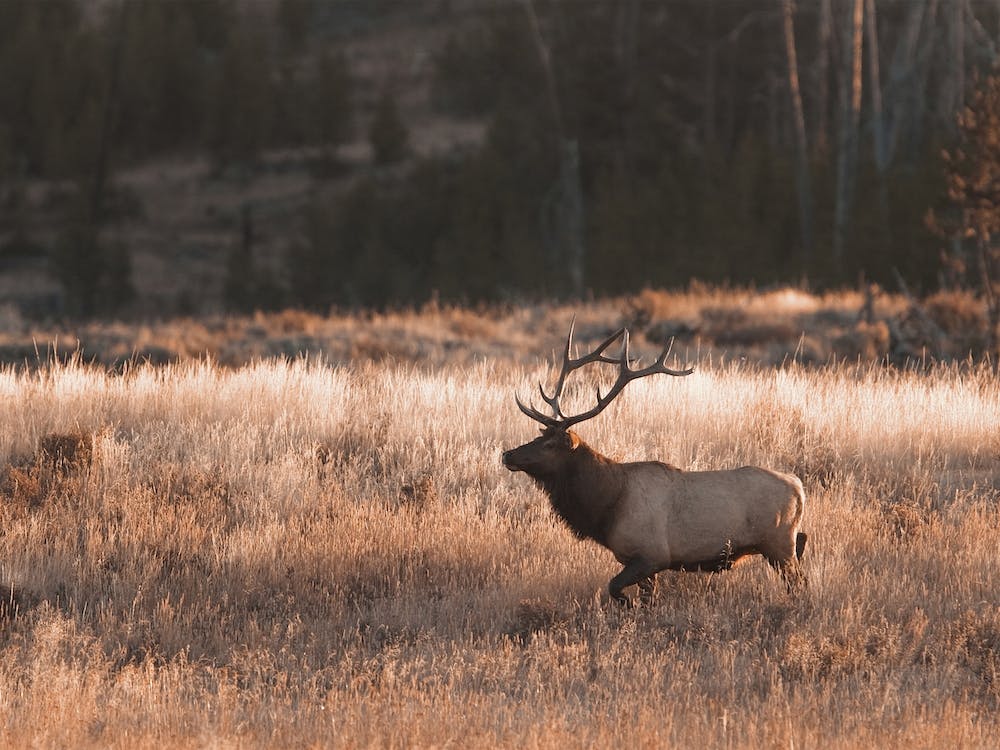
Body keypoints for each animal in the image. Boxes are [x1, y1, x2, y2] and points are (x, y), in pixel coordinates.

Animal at [502, 321, 808, 606]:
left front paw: (628, 605)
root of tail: (799, 487)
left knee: (799, 582)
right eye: (538, 437)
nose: (508, 455)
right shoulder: (642, 563)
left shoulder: (652, 555)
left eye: (550, 445)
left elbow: (615, 587)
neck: (607, 506)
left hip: (778, 543)